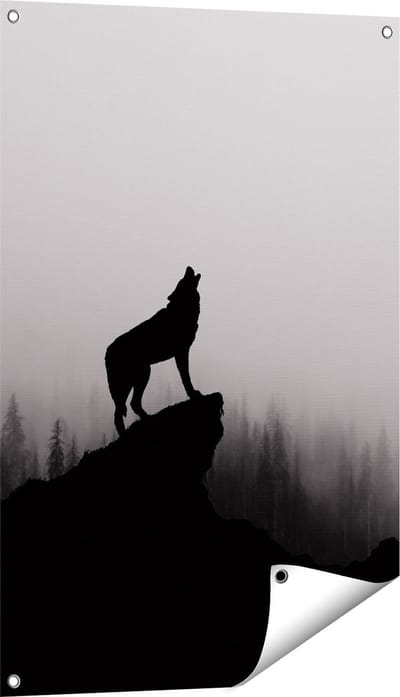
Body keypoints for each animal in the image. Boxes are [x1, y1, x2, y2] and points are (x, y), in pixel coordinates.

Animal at [105, 266, 201, 435]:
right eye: (182, 279)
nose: (188, 267)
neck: (181, 310)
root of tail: (106, 352)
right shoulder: (181, 352)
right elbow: (186, 378)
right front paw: (193, 394)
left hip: (136, 378)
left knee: (126, 407)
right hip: (139, 376)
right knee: (124, 409)